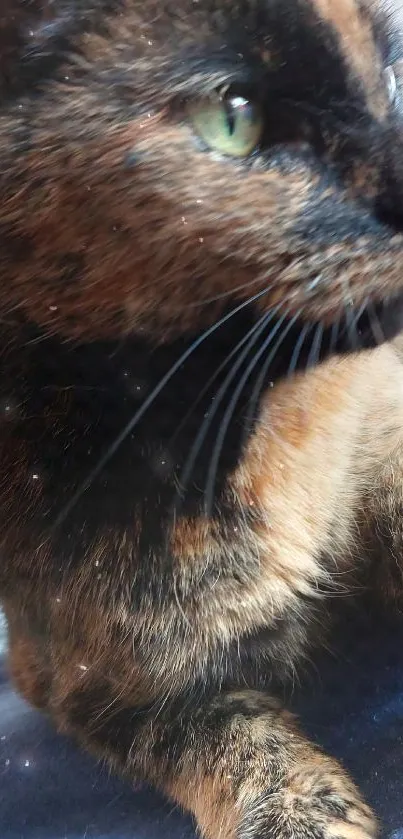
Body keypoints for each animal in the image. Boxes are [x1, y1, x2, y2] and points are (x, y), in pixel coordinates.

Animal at [3, 0, 403, 836]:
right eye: (231, 118)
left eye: (386, 75)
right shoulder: (79, 679)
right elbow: (212, 729)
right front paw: (294, 811)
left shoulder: (382, 434)